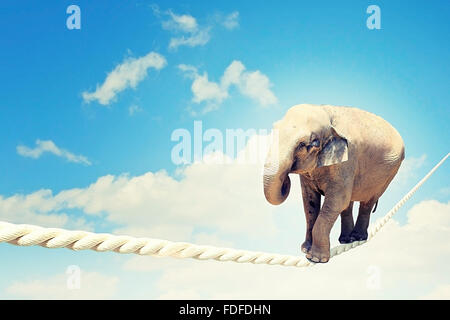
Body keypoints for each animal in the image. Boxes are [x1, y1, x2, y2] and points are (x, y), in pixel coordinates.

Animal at [262, 104, 406, 262]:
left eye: (306, 144)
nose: (286, 180)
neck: (327, 113)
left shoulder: (348, 159)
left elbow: (336, 201)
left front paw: (315, 258)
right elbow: (309, 203)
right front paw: (305, 249)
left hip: (389, 174)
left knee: (367, 202)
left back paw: (358, 238)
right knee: (348, 203)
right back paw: (345, 240)